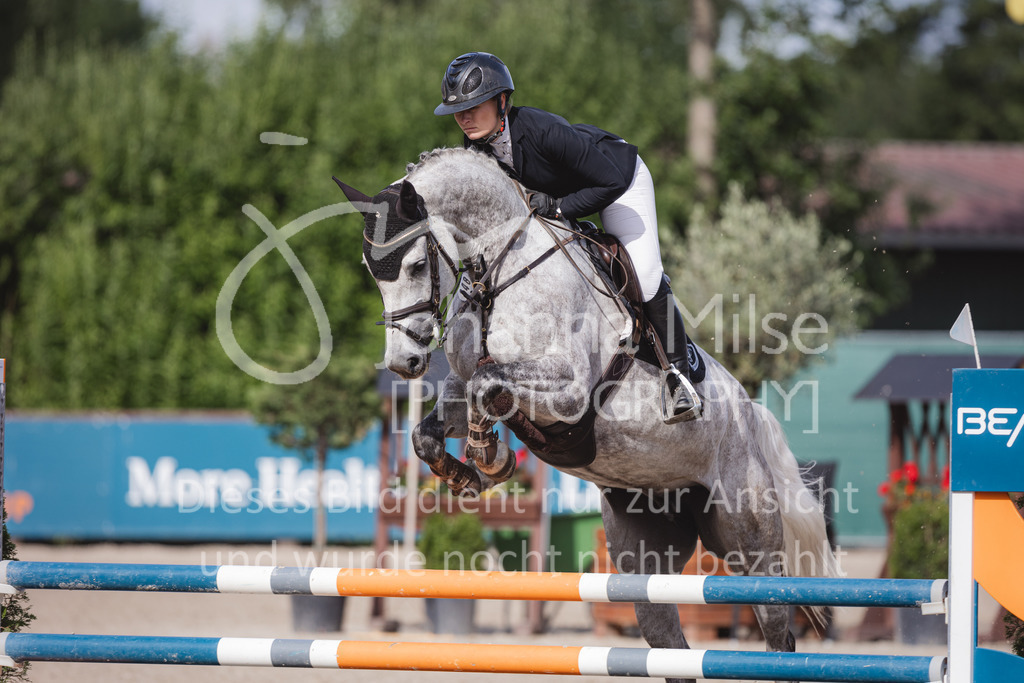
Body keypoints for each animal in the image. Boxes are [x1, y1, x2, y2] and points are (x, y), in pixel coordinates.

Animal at [336, 147, 837, 683]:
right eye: (371, 270)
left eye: (414, 264)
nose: (402, 363)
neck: (500, 271)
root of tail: (750, 415)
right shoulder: (459, 385)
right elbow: (433, 428)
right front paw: (470, 473)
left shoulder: (570, 390)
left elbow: (486, 385)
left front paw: (490, 457)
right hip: (646, 548)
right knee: (667, 637)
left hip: (749, 538)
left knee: (777, 631)